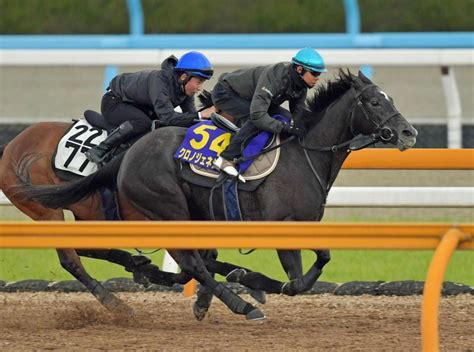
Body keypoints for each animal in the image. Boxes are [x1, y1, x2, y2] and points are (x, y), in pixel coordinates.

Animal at [18, 70, 418, 320]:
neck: (304, 153)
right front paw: (253, 284)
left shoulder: (304, 225)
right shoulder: (280, 227)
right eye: (374, 102)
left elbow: (320, 262)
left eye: (389, 99)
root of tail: (128, 153)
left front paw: (247, 278)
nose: (409, 132)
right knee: (190, 261)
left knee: (190, 260)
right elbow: (297, 282)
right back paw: (241, 306)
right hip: (168, 207)